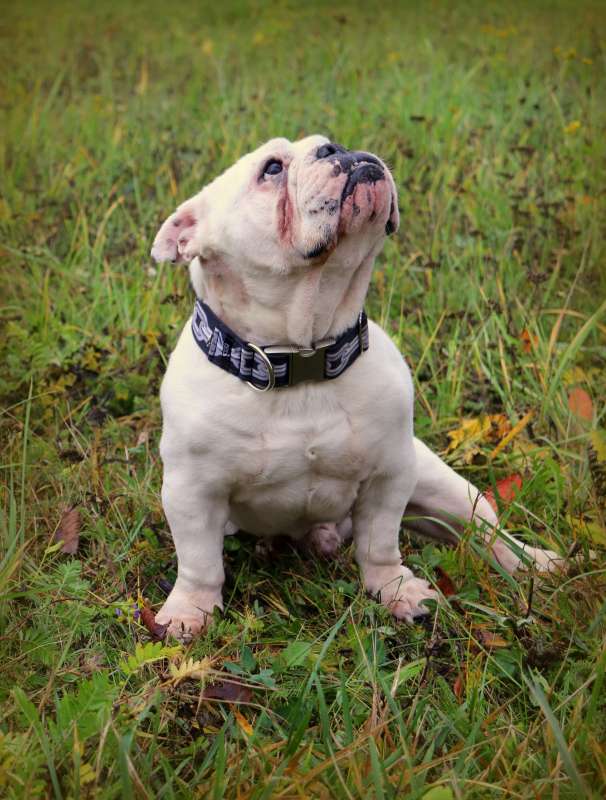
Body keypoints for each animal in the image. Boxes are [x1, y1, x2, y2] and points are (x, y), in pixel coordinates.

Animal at [151, 135, 563, 641]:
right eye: (272, 169)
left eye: (330, 142)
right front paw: (189, 611)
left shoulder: (390, 473)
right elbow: (200, 562)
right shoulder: (191, 492)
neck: (302, 357)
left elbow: (380, 543)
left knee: (485, 533)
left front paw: (395, 590)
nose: (337, 150)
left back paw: (534, 564)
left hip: (446, 489)